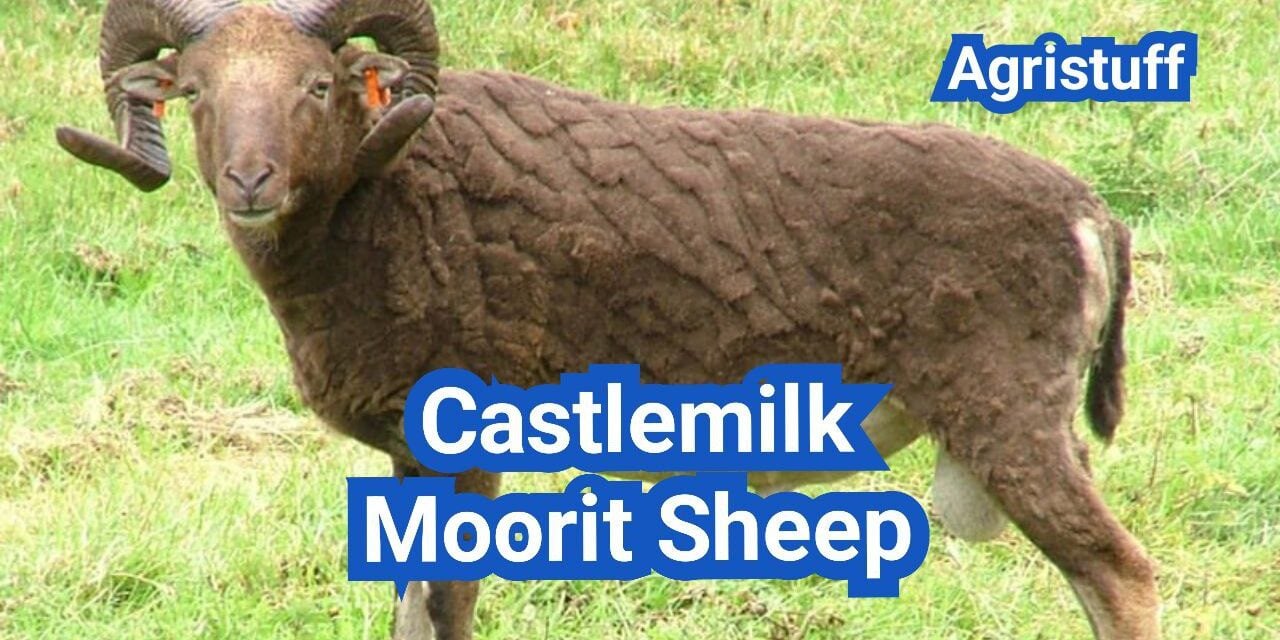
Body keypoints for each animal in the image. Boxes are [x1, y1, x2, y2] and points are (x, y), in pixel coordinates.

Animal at [55, 1, 1158, 639]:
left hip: (1008, 412)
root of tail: (1088, 210)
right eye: (195, 93)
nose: (249, 181)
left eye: (318, 85)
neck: (383, 193)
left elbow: (447, 607)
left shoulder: (465, 433)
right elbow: (409, 607)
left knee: (1120, 575)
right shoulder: (407, 451)